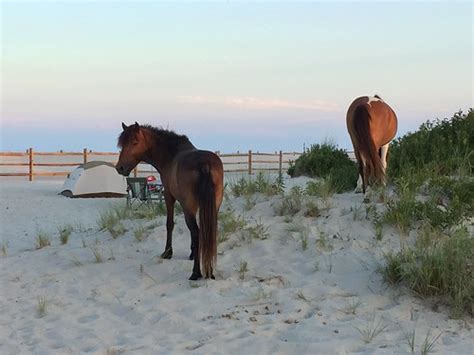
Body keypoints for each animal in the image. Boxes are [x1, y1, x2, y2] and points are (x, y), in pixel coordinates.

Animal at [116, 122, 224, 280]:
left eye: (134, 142)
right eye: (122, 144)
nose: (120, 168)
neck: (170, 155)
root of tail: (205, 165)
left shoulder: (168, 196)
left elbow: (170, 224)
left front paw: (168, 252)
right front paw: (192, 254)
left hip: (189, 207)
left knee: (196, 232)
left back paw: (196, 272)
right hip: (213, 207)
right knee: (207, 233)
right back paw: (209, 271)